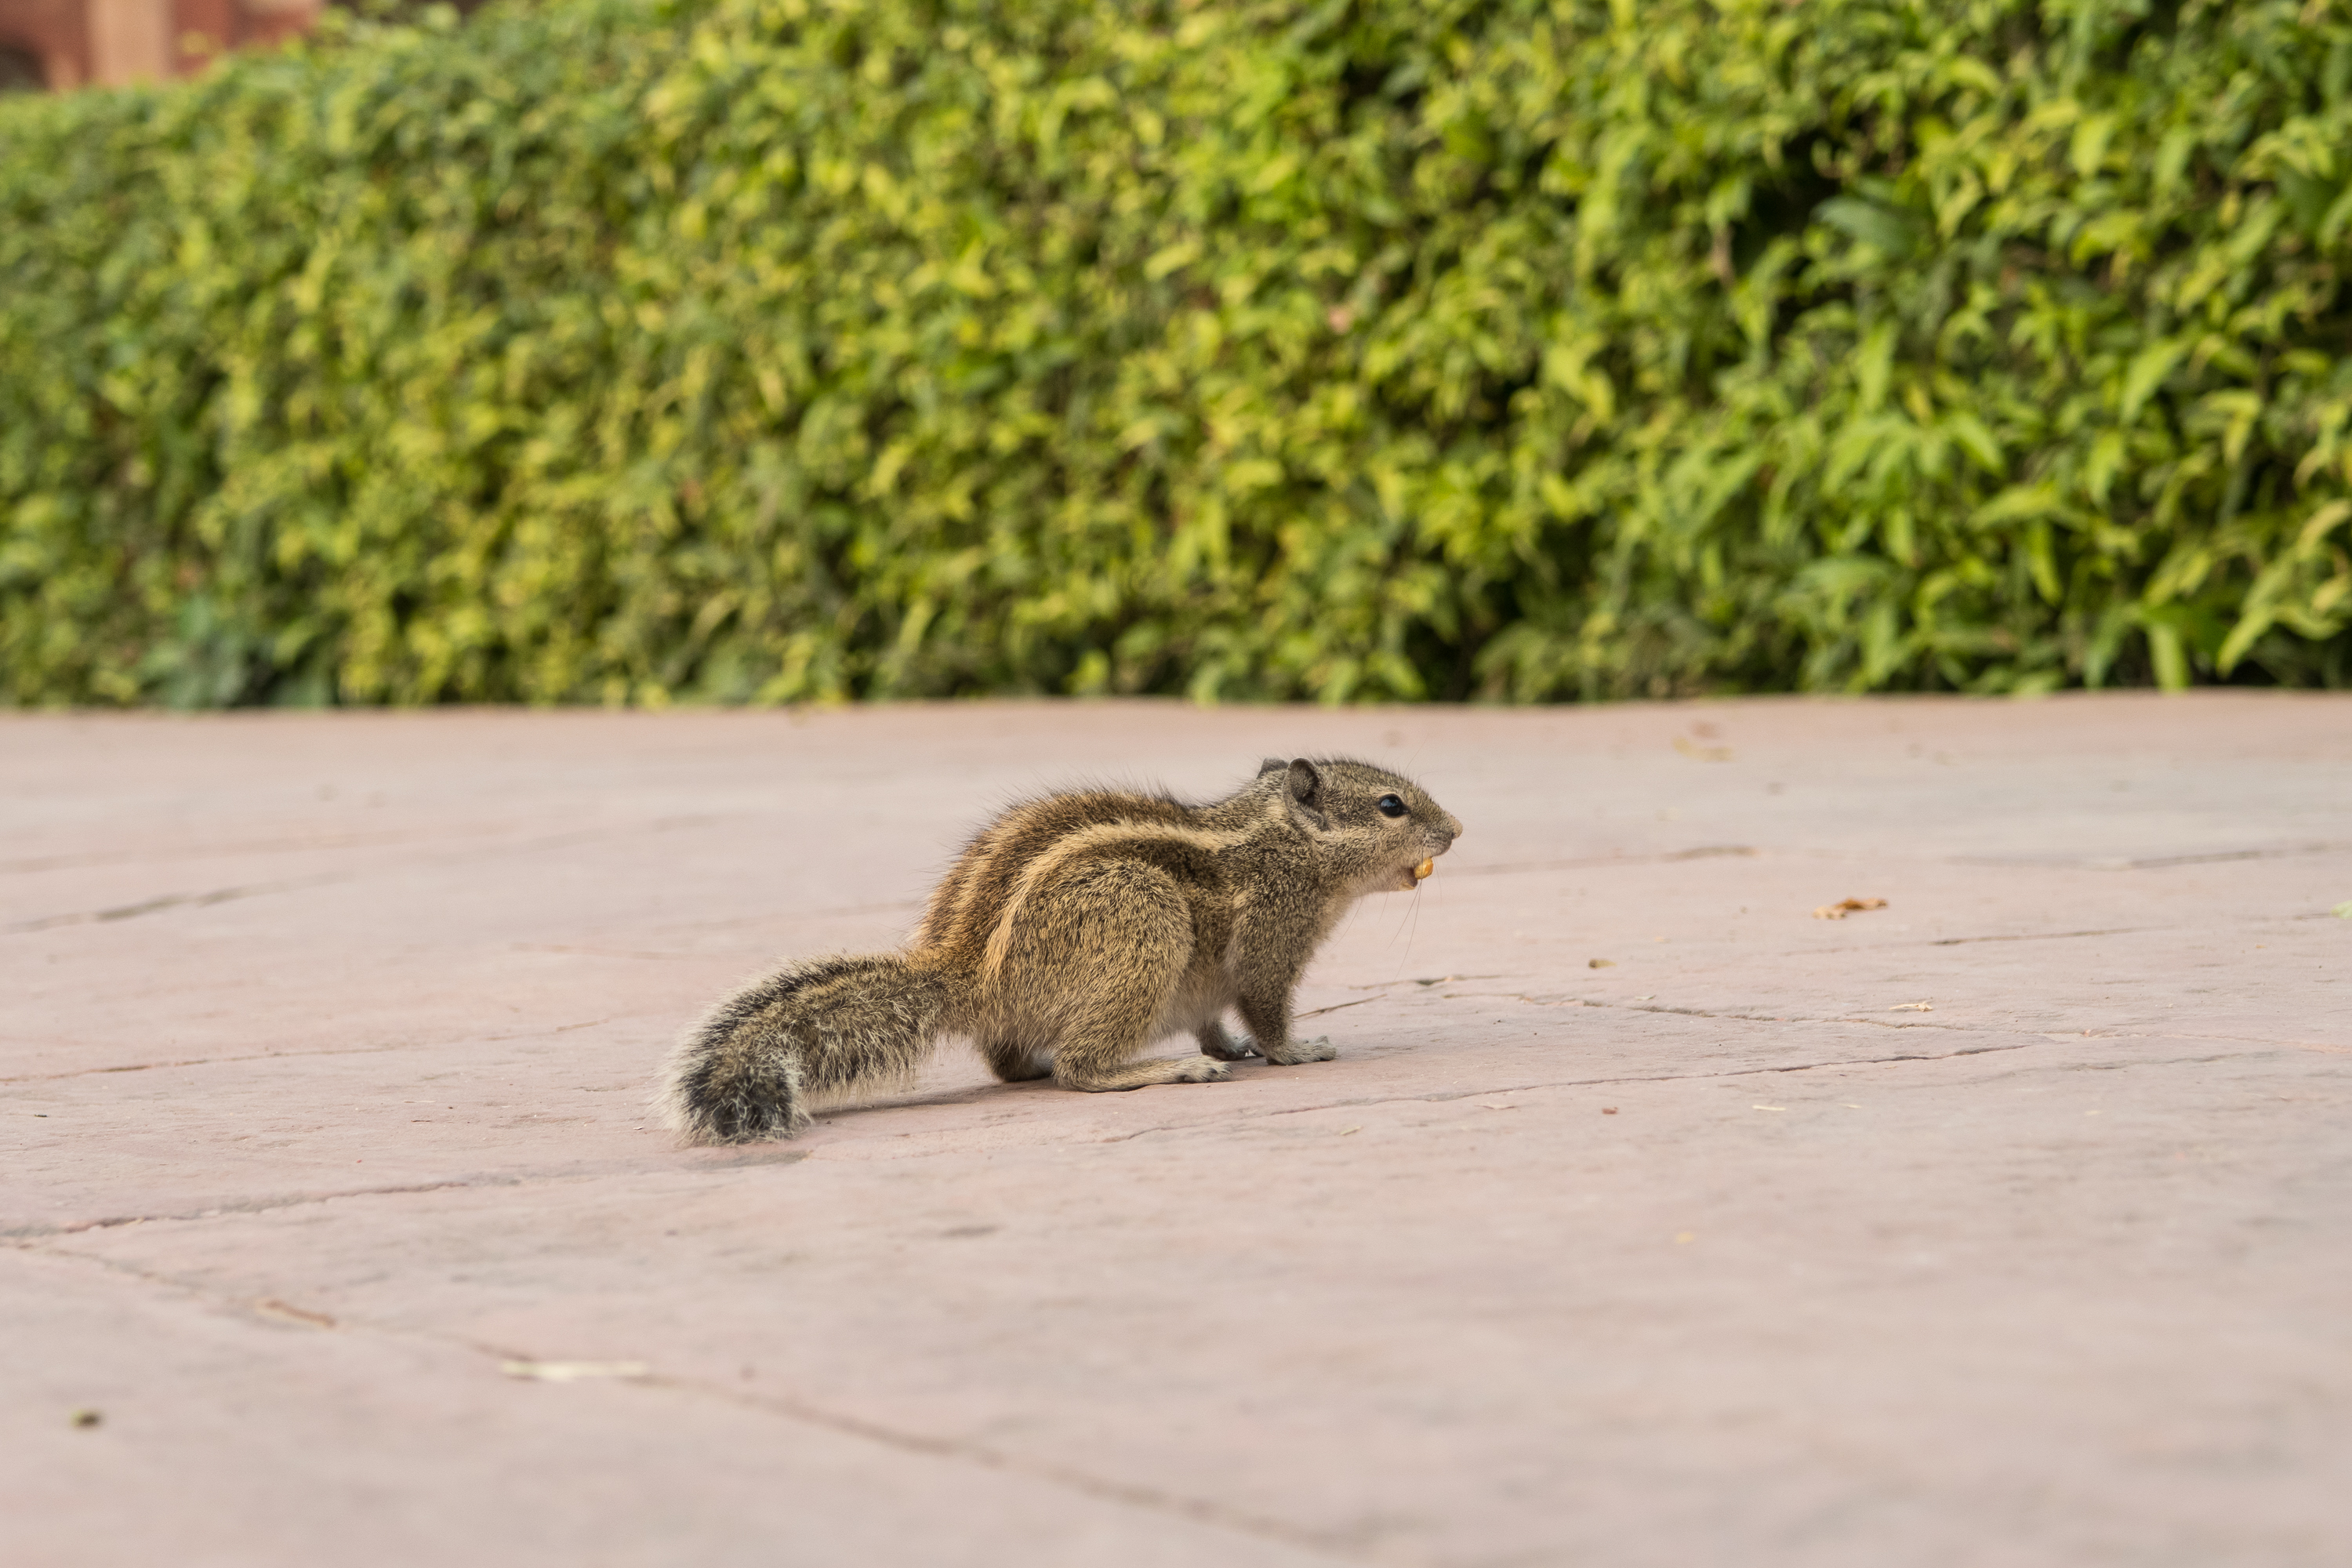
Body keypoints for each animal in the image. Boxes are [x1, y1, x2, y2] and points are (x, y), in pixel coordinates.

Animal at [657, 756, 1463, 1144]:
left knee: (1012, 1064)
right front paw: (1295, 1052)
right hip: (1144, 921)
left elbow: (1215, 1018)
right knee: (1079, 1071)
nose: (1455, 830)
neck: (1281, 842)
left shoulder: (1211, 984)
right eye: (1392, 806)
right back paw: (1163, 1070)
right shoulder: (1273, 940)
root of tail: (964, 977)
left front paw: (1229, 1047)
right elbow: (1266, 1010)